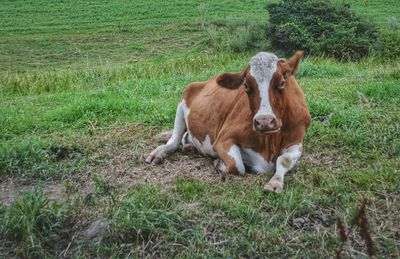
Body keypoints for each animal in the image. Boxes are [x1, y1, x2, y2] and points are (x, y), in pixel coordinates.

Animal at [145, 50, 310, 193]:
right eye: (246, 86)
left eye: (282, 83)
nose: (264, 121)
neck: (269, 144)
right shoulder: (223, 139)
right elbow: (237, 166)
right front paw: (219, 162)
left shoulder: (297, 140)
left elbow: (284, 160)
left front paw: (275, 182)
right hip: (182, 104)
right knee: (173, 141)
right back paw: (159, 153)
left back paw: (189, 147)